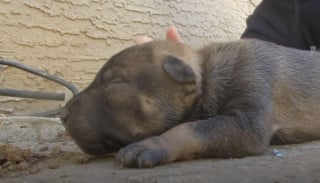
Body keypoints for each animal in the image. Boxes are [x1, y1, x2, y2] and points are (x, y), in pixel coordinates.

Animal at [60, 39, 320, 168]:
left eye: (114, 83)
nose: (62, 115)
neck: (209, 76)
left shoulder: (247, 121)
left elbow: (190, 128)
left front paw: (151, 145)